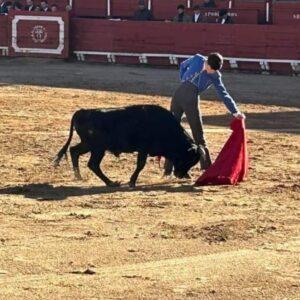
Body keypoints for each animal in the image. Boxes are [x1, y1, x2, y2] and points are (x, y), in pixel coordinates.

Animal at [54, 104, 204, 186]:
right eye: (188, 159)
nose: (180, 175)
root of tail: (83, 111)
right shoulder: (143, 149)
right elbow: (140, 165)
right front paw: (132, 182)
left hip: (89, 145)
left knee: (74, 151)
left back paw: (78, 176)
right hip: (97, 148)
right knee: (92, 164)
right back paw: (111, 183)